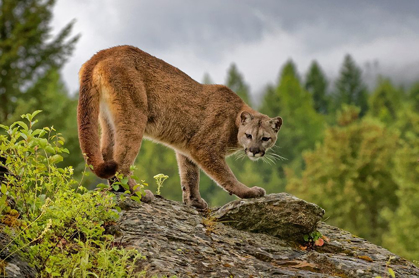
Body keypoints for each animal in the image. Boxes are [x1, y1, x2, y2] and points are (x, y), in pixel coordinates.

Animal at [77, 45, 284, 210]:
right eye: (248, 135)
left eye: (265, 138)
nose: (255, 151)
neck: (234, 122)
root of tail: (105, 51)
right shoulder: (204, 148)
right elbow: (226, 176)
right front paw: (249, 192)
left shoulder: (187, 148)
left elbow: (190, 176)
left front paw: (194, 202)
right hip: (134, 116)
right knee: (120, 160)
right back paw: (138, 193)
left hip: (107, 118)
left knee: (106, 152)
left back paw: (117, 188)